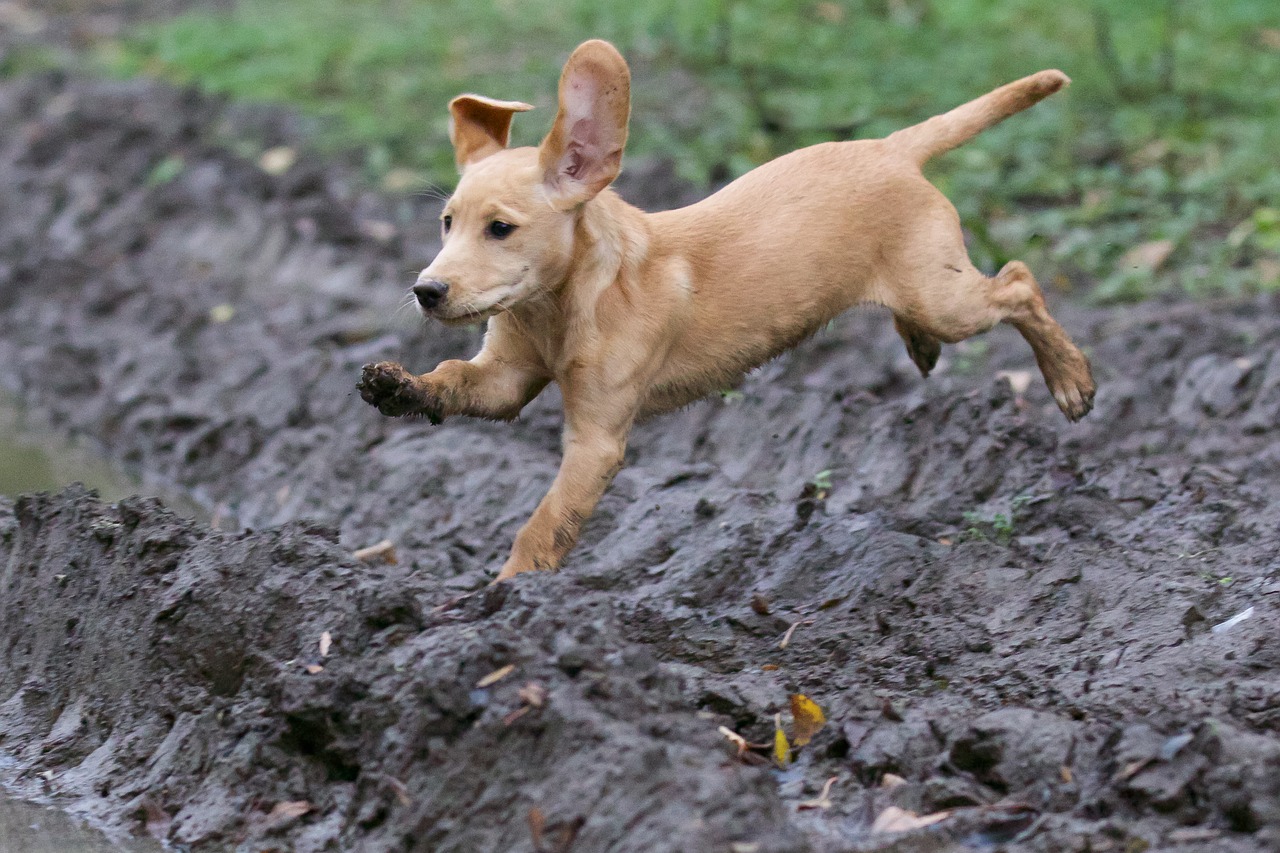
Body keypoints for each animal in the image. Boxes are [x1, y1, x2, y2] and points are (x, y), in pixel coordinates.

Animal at [355, 39, 1095, 578]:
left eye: (501, 229)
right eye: (446, 223)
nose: (427, 290)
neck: (562, 303)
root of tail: (889, 147)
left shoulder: (596, 439)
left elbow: (547, 522)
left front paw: (507, 598)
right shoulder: (507, 375)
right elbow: (457, 377)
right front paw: (398, 385)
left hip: (946, 296)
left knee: (1019, 283)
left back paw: (1070, 379)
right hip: (926, 284)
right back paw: (921, 345)